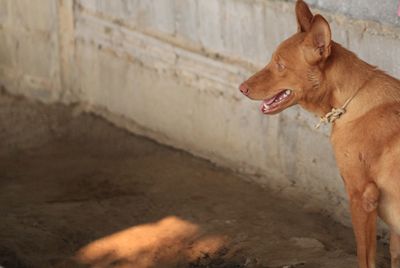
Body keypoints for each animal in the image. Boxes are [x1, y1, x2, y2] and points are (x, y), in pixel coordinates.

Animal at [239, 1, 400, 266]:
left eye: (280, 65)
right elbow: (395, 254)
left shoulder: (361, 196)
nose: (241, 88)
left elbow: (364, 256)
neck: (350, 101)